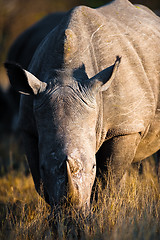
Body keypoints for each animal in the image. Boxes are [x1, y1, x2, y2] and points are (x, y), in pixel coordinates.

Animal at [4, 0, 160, 210]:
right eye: (44, 167)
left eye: (92, 166)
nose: (72, 214)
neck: (65, 73)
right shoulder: (28, 126)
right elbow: (39, 182)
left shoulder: (125, 127)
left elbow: (107, 181)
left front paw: (100, 212)